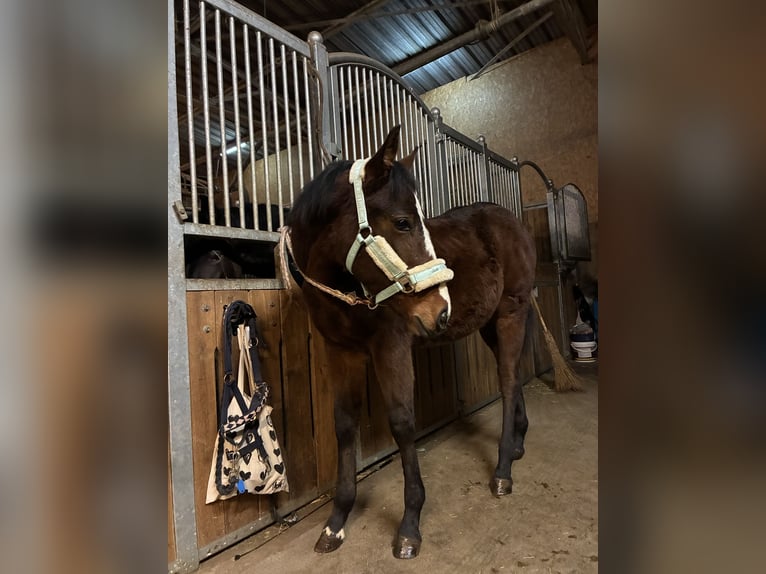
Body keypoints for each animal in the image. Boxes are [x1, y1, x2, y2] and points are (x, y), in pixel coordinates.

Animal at [283, 125, 536, 559]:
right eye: (402, 222)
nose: (441, 312)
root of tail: (513, 223)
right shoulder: (342, 353)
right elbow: (344, 425)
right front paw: (336, 523)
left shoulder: (392, 346)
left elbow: (402, 423)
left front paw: (410, 525)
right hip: (489, 325)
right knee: (516, 376)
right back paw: (517, 444)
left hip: (511, 314)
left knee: (506, 382)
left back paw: (503, 469)